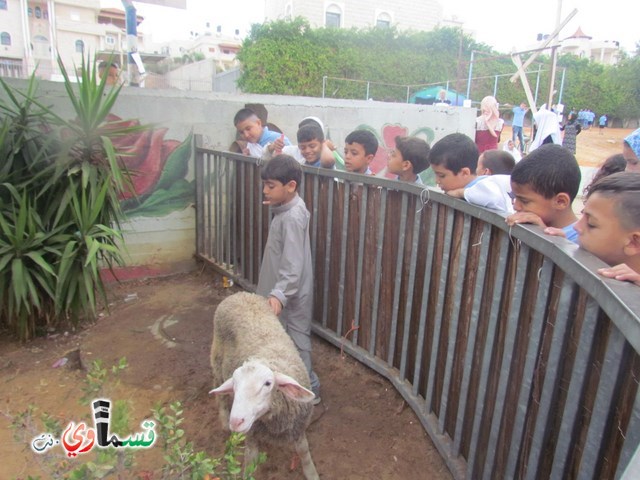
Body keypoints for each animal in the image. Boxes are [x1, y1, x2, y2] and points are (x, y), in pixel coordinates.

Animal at [210, 290, 320, 480]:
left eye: (268, 383)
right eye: (235, 384)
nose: (236, 421)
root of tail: (239, 294)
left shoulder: (298, 428)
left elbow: (304, 452)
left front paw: (311, 473)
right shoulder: (252, 434)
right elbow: (250, 461)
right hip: (217, 360)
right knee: (221, 395)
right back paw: (224, 421)